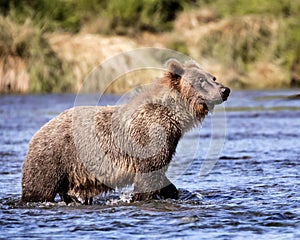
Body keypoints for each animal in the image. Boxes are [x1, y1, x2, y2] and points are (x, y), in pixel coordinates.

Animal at [21, 58, 230, 204]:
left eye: (213, 77)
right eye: (202, 80)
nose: (225, 90)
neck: (175, 115)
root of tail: (39, 131)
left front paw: (172, 191)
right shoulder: (150, 138)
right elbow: (149, 175)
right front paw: (141, 197)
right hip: (55, 156)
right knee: (39, 187)